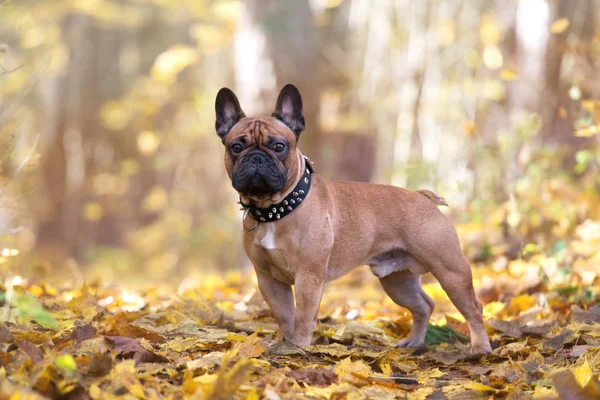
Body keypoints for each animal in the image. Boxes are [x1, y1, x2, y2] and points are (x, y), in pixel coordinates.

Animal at [216, 83, 492, 354]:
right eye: (236, 147)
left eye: (279, 146)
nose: (256, 158)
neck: (275, 209)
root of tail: (421, 196)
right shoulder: (268, 279)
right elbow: (284, 315)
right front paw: (284, 344)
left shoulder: (308, 277)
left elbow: (303, 316)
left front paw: (299, 347)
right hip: (397, 281)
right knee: (424, 305)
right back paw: (414, 342)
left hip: (450, 270)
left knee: (473, 307)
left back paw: (480, 347)